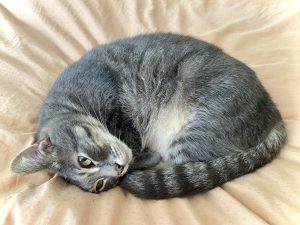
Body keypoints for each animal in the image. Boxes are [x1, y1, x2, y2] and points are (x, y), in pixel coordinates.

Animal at [9, 33, 286, 199]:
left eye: (84, 161)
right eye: (100, 185)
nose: (118, 171)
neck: (67, 103)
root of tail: (273, 113)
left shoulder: (116, 107)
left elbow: (130, 138)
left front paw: (137, 157)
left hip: (195, 132)